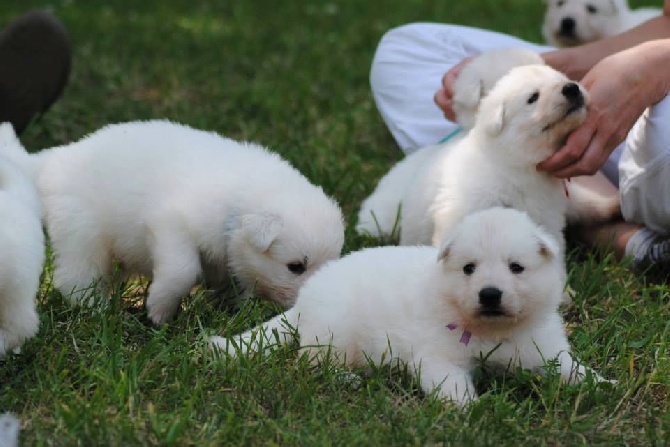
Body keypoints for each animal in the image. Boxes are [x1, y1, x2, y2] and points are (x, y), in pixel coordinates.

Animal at [0, 121, 344, 326]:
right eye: (295, 267)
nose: (314, 301)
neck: (238, 201)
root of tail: (47, 163)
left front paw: (226, 312)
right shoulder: (170, 225)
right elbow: (181, 271)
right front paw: (159, 313)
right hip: (82, 232)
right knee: (75, 278)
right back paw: (99, 311)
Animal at [213, 208, 612, 408]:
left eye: (517, 267)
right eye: (469, 268)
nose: (490, 294)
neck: (493, 331)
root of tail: (303, 300)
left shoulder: (543, 348)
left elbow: (571, 368)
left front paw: (601, 384)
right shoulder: (437, 356)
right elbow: (451, 384)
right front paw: (470, 409)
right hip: (334, 331)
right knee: (310, 363)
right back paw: (346, 378)